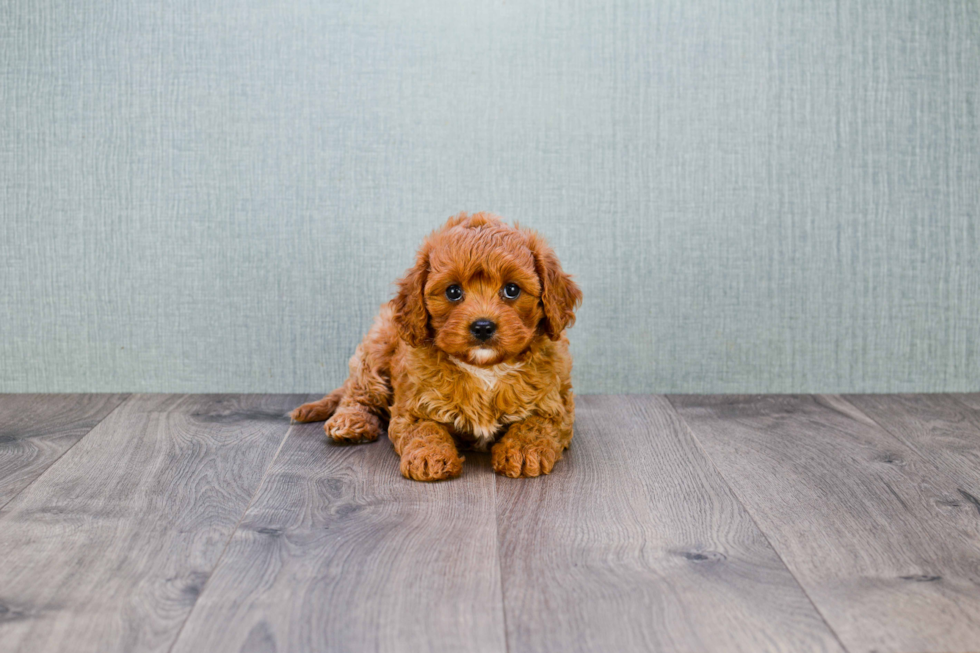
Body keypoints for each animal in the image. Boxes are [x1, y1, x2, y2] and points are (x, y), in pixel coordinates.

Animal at [290, 211, 580, 482]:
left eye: (512, 289)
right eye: (453, 291)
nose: (483, 327)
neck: (485, 369)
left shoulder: (556, 405)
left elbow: (536, 424)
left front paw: (523, 451)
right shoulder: (411, 406)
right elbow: (425, 428)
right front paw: (430, 456)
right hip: (377, 346)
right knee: (359, 391)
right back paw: (351, 420)